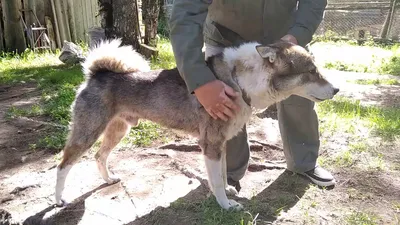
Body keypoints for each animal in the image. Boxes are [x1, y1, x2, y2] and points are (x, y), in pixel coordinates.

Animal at [54, 39, 340, 211]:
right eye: (311, 71)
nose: (337, 90)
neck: (240, 81)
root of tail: (97, 73)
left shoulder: (221, 145)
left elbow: (222, 175)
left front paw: (228, 191)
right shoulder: (210, 145)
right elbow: (215, 181)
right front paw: (226, 205)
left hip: (117, 130)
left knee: (100, 156)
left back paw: (108, 179)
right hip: (87, 133)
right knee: (63, 166)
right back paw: (59, 200)